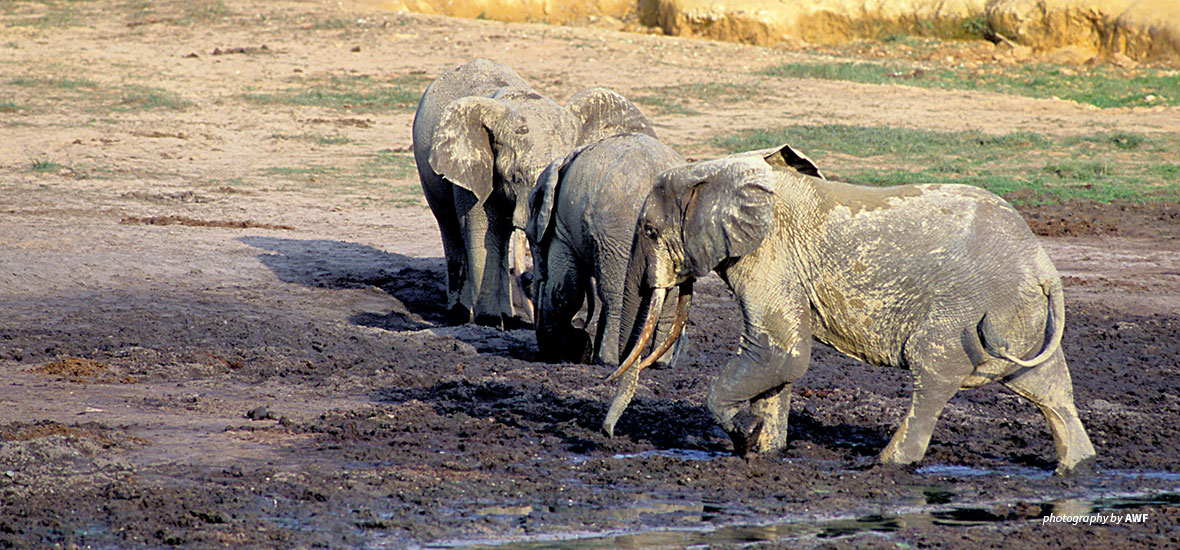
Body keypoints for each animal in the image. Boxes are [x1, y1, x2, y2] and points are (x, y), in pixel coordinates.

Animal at [412, 58, 656, 328]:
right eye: (516, 178)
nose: (529, 278)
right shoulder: (474, 171)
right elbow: (480, 229)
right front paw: (489, 322)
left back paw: (508, 317)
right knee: (450, 226)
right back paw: (460, 316)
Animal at [528, 132, 689, 370]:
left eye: (529, 236)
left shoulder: (561, 228)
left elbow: (567, 289)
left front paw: (572, 351)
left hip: (618, 232)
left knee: (617, 293)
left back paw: (609, 360)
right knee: (667, 300)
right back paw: (659, 363)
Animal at [613, 143, 1099, 474]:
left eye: (650, 231)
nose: (608, 434)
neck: (716, 169)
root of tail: (1045, 267)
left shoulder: (771, 256)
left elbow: (779, 353)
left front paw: (745, 434)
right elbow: (779, 363)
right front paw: (765, 450)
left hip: (971, 310)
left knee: (934, 375)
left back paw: (887, 464)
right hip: (1023, 314)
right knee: (1049, 387)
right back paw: (1075, 466)